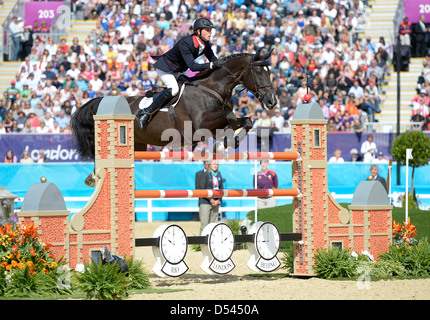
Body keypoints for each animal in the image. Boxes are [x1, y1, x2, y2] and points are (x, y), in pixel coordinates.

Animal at [71, 47, 276, 161]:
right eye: (259, 72)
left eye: (270, 71)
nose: (272, 101)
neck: (213, 87)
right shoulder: (200, 124)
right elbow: (230, 116)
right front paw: (224, 143)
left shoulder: (214, 125)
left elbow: (245, 121)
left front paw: (226, 142)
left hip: (138, 145)